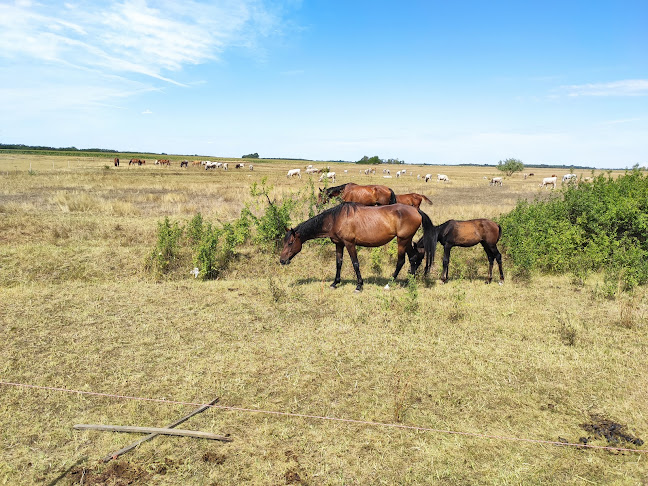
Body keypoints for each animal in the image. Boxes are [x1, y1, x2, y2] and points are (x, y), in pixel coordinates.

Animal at [280, 202, 436, 290]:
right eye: (284, 242)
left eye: (290, 243)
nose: (282, 260)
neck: (336, 218)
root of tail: (416, 210)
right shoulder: (339, 244)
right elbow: (338, 263)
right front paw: (335, 283)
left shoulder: (350, 244)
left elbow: (355, 263)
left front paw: (359, 285)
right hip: (407, 240)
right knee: (413, 257)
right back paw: (410, 282)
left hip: (402, 240)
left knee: (401, 261)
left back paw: (389, 284)